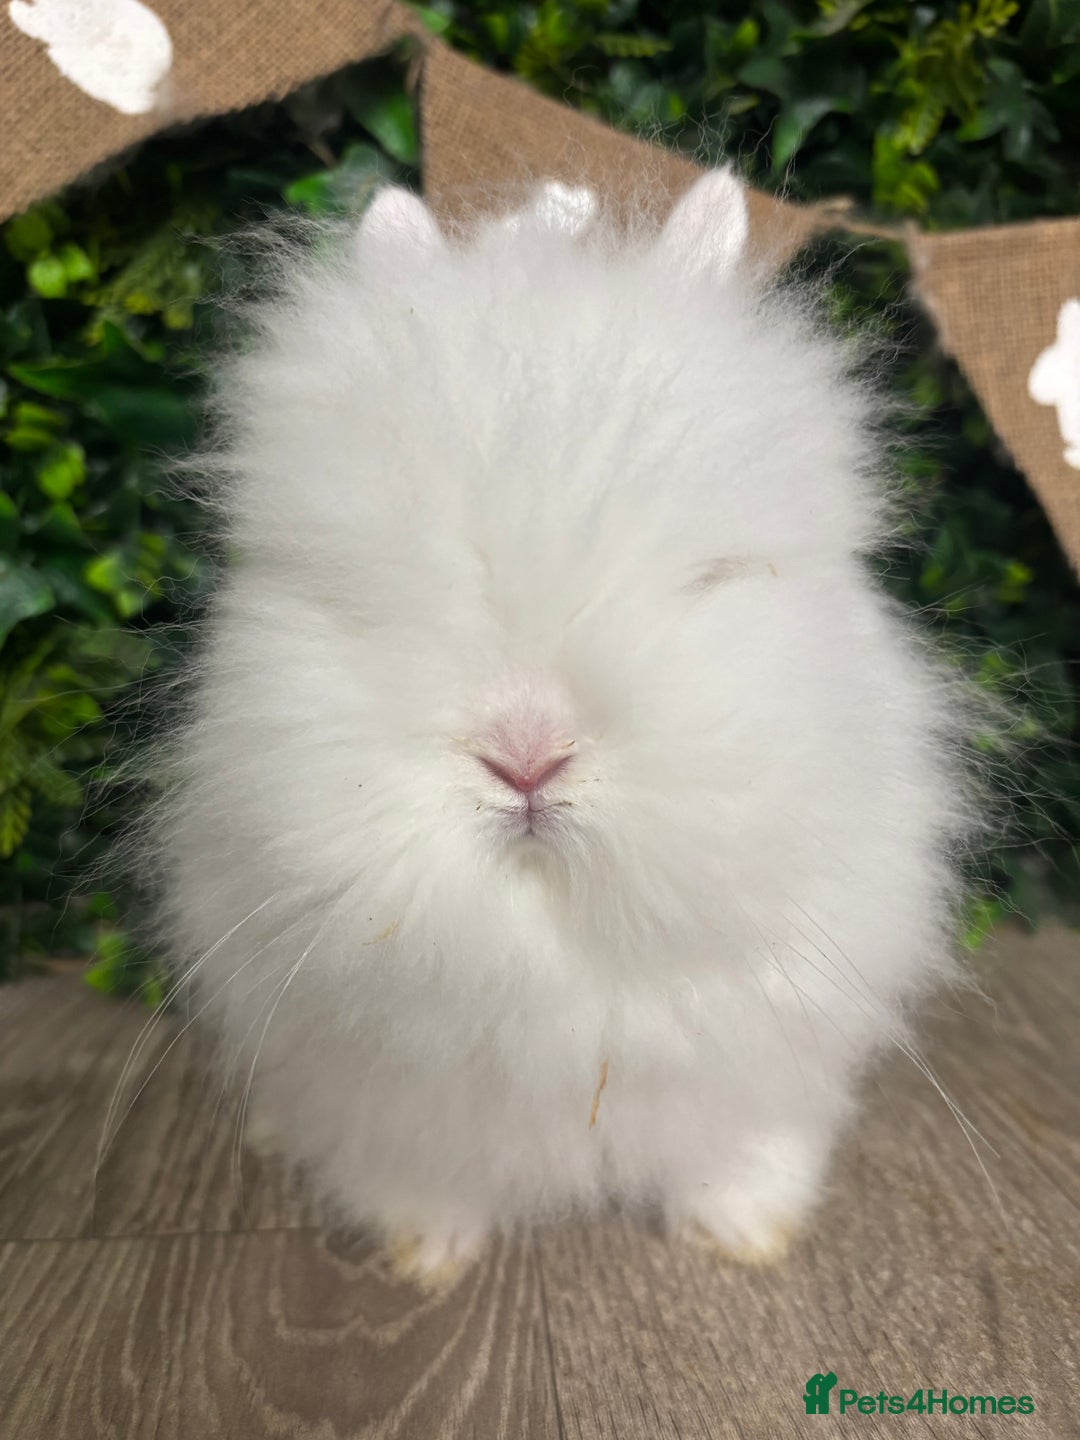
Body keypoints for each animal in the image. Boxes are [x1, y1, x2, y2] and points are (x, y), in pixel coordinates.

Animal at [155, 171, 982, 1281]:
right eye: (355, 593)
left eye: (714, 576)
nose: (525, 757)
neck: (554, 948)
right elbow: (414, 1168)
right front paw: (426, 1254)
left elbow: (739, 1145)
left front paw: (746, 1234)